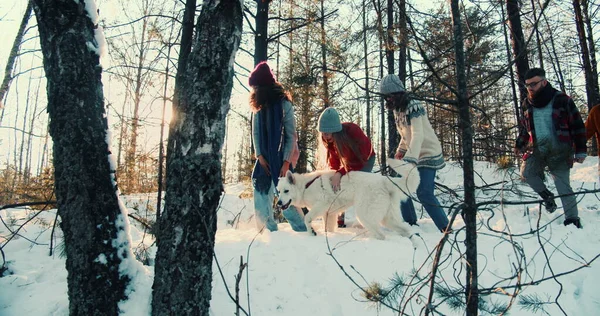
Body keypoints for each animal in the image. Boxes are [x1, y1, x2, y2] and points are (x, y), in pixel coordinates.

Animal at [276, 158, 418, 242]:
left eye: (286, 191)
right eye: (278, 191)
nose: (278, 203)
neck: (305, 186)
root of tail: (384, 180)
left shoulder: (321, 205)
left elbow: (307, 218)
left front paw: (312, 232)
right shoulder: (329, 214)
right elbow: (328, 228)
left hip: (364, 215)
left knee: (381, 235)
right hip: (388, 218)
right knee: (406, 231)